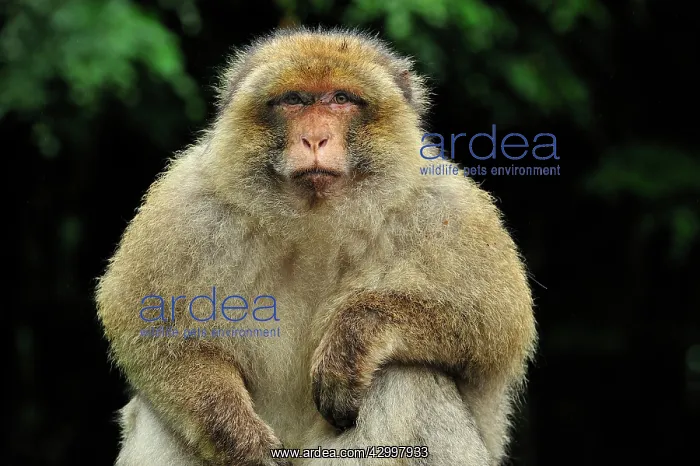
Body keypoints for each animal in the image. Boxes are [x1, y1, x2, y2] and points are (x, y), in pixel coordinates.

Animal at [96, 27, 537, 466]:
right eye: (294, 100)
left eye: (341, 98)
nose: (314, 138)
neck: (315, 218)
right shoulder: (188, 204)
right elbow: (152, 328)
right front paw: (240, 440)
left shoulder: (444, 205)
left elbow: (495, 326)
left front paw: (354, 338)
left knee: (403, 377)